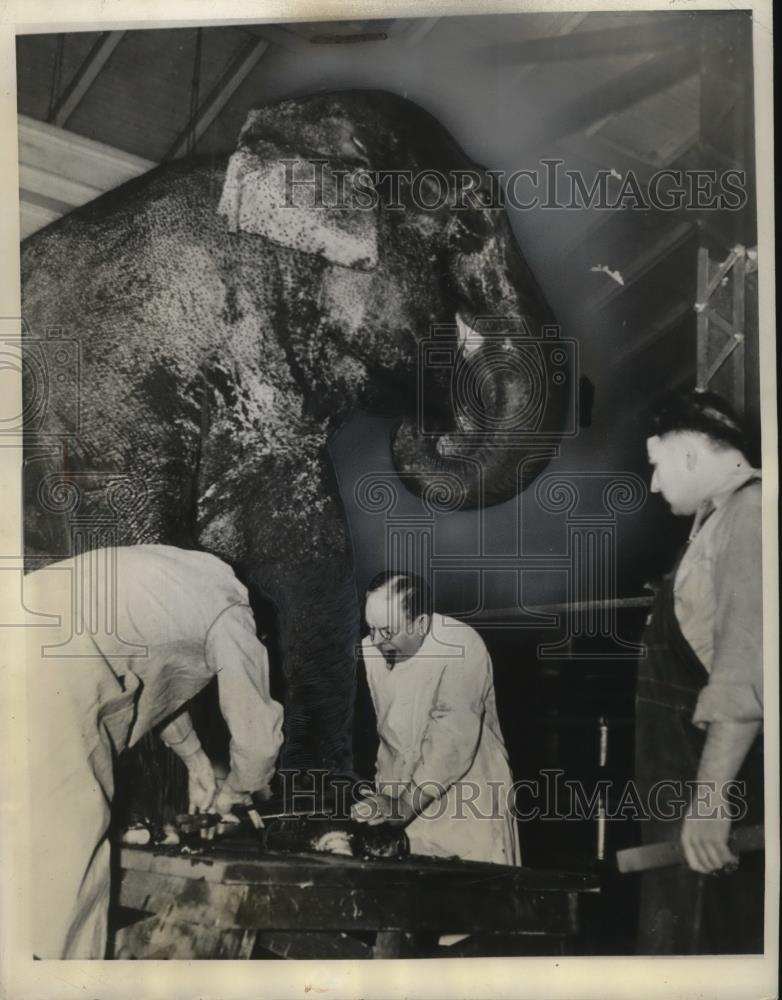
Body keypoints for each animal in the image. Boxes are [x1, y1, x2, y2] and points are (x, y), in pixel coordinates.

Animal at [18, 88, 568, 788]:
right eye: (470, 226)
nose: (428, 425)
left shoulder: (271, 410)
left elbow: (313, 563)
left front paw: (317, 809)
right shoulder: (110, 383)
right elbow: (127, 553)